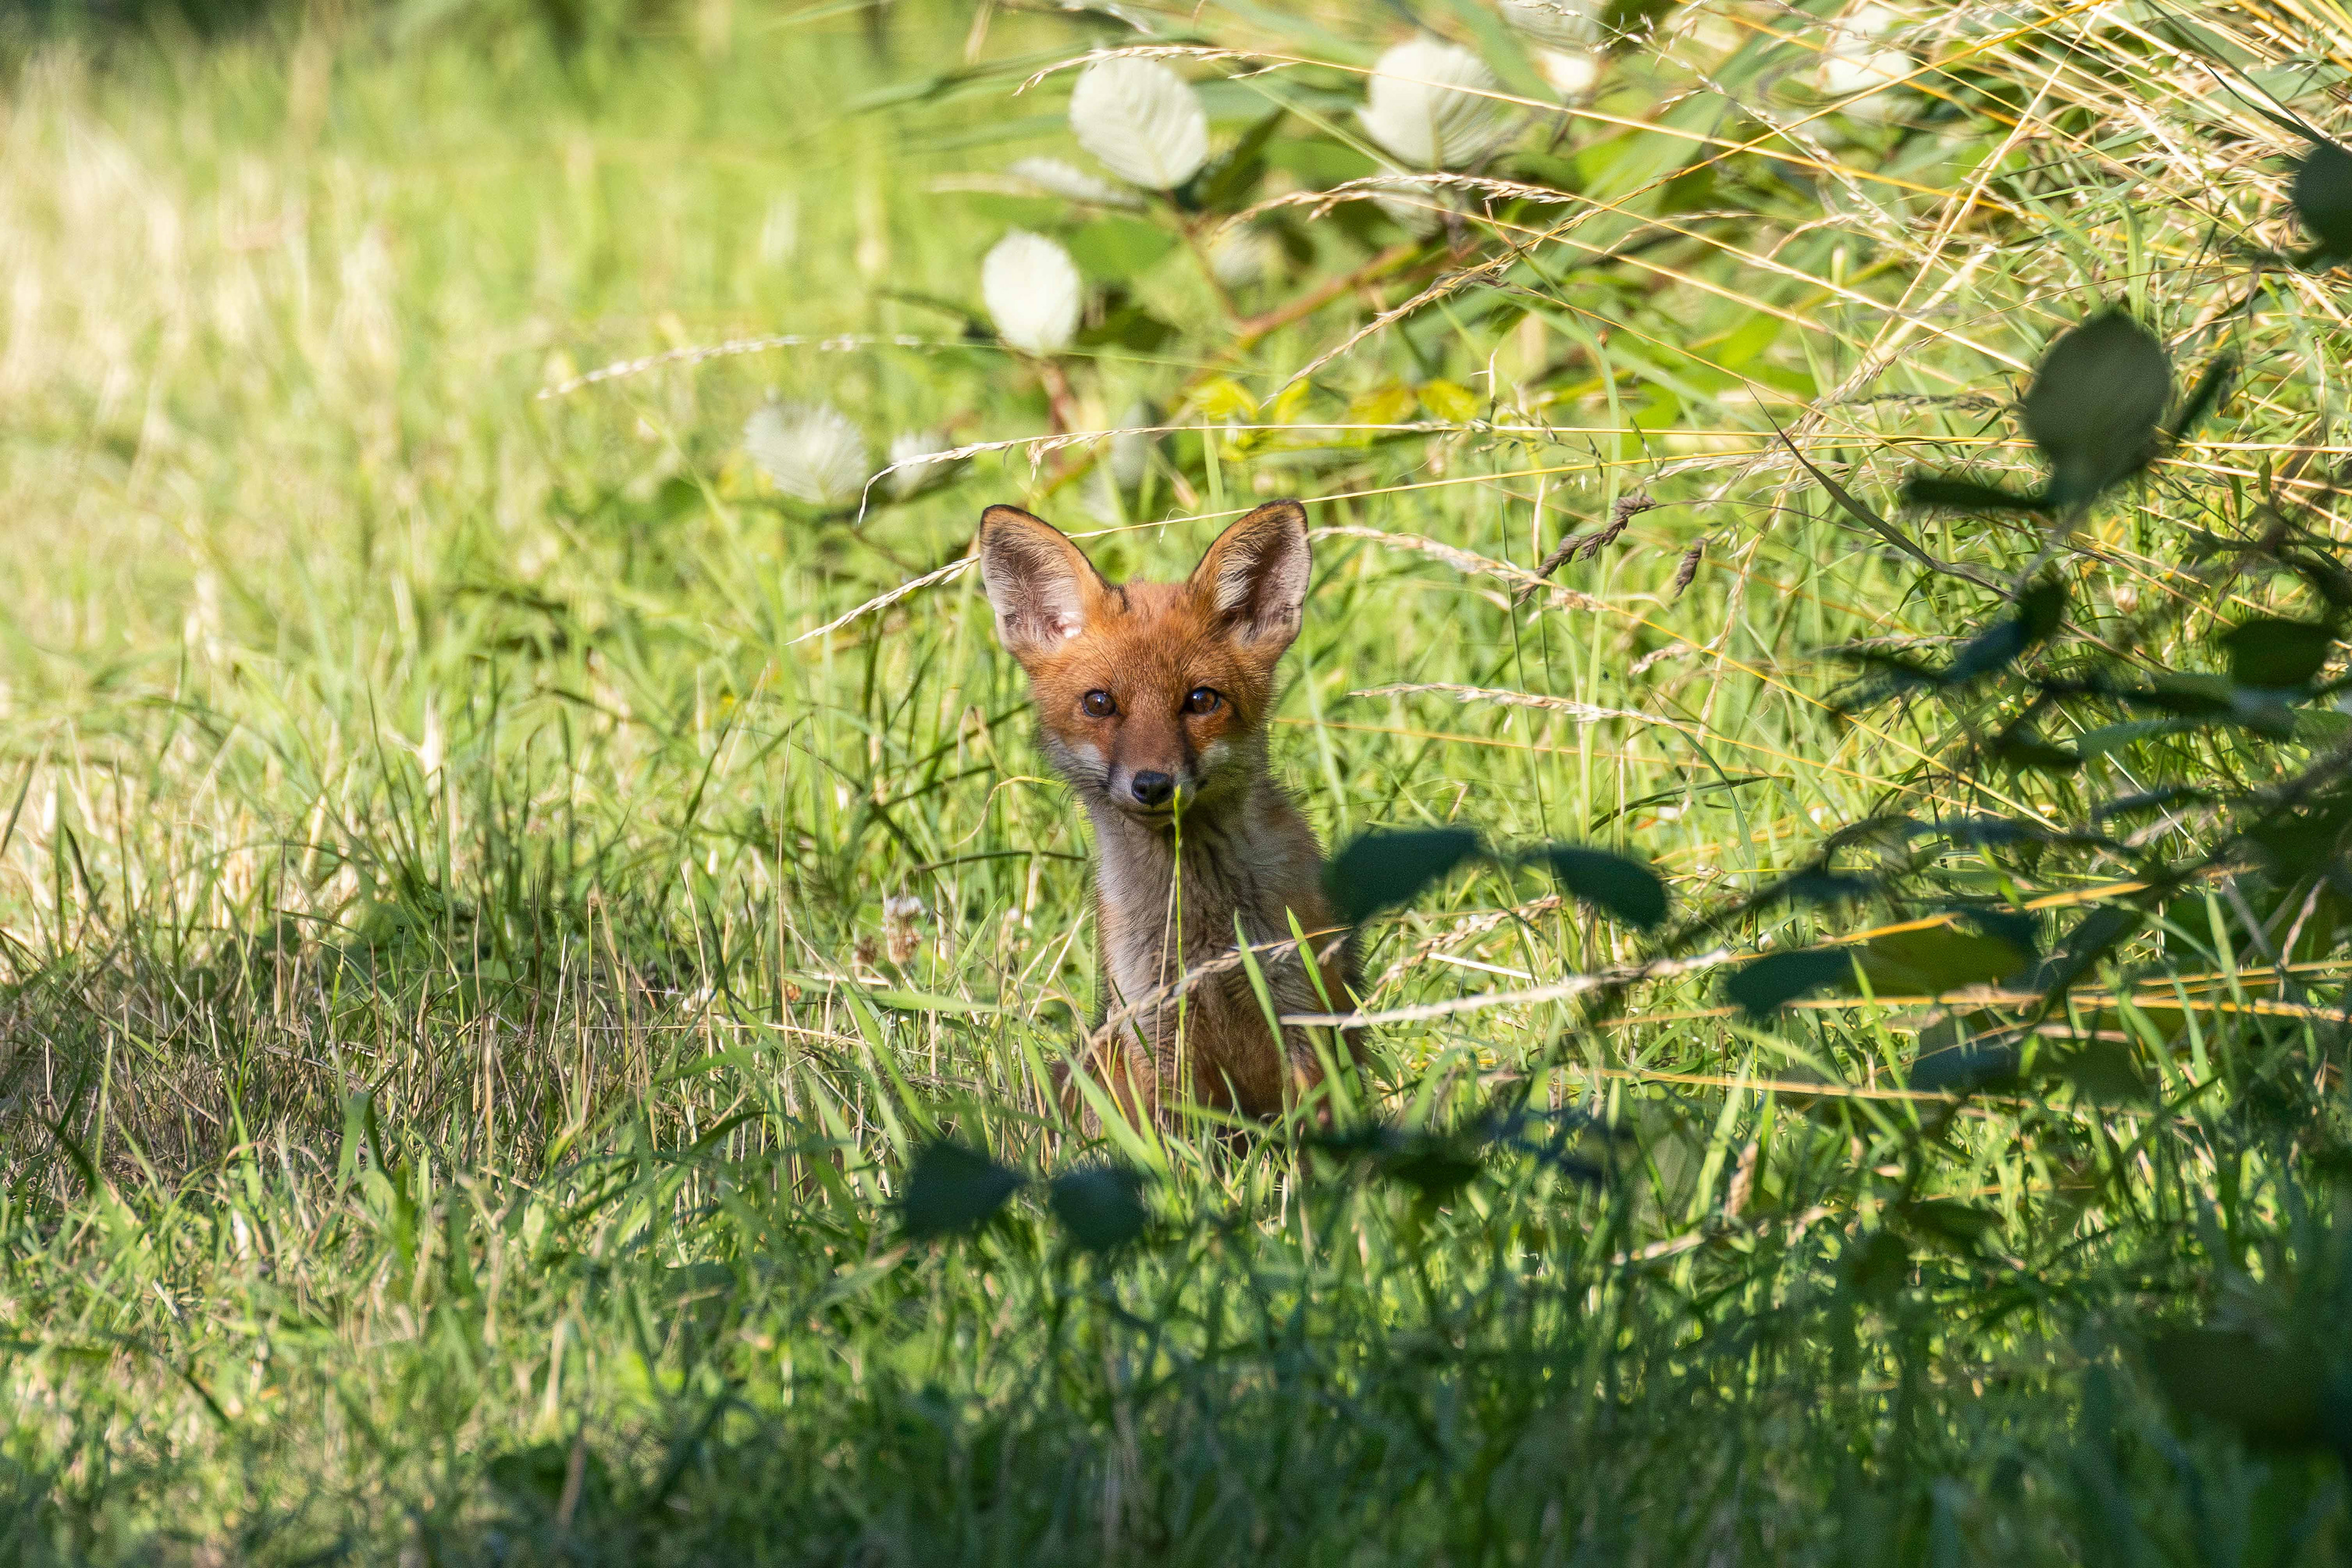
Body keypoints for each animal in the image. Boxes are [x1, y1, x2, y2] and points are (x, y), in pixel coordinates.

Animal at [975, 498, 1362, 1123]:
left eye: (1201, 700)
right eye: (1100, 703)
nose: (1152, 785)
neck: (1198, 923)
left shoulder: (1302, 1012)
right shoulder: (1153, 1029)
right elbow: (1170, 1142)